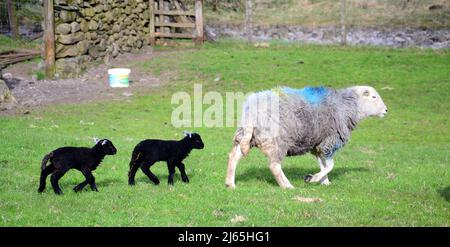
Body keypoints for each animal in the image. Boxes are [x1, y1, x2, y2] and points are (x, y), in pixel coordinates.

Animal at [227, 85, 388, 189]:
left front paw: (324, 182)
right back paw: (287, 186)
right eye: (374, 97)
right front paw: (312, 178)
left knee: (234, 156)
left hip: (248, 135)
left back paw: (230, 183)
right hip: (277, 141)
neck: (346, 106)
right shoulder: (329, 141)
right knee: (274, 165)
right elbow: (330, 165)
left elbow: (324, 164)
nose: (386, 110)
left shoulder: (318, 145)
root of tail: (252, 109)